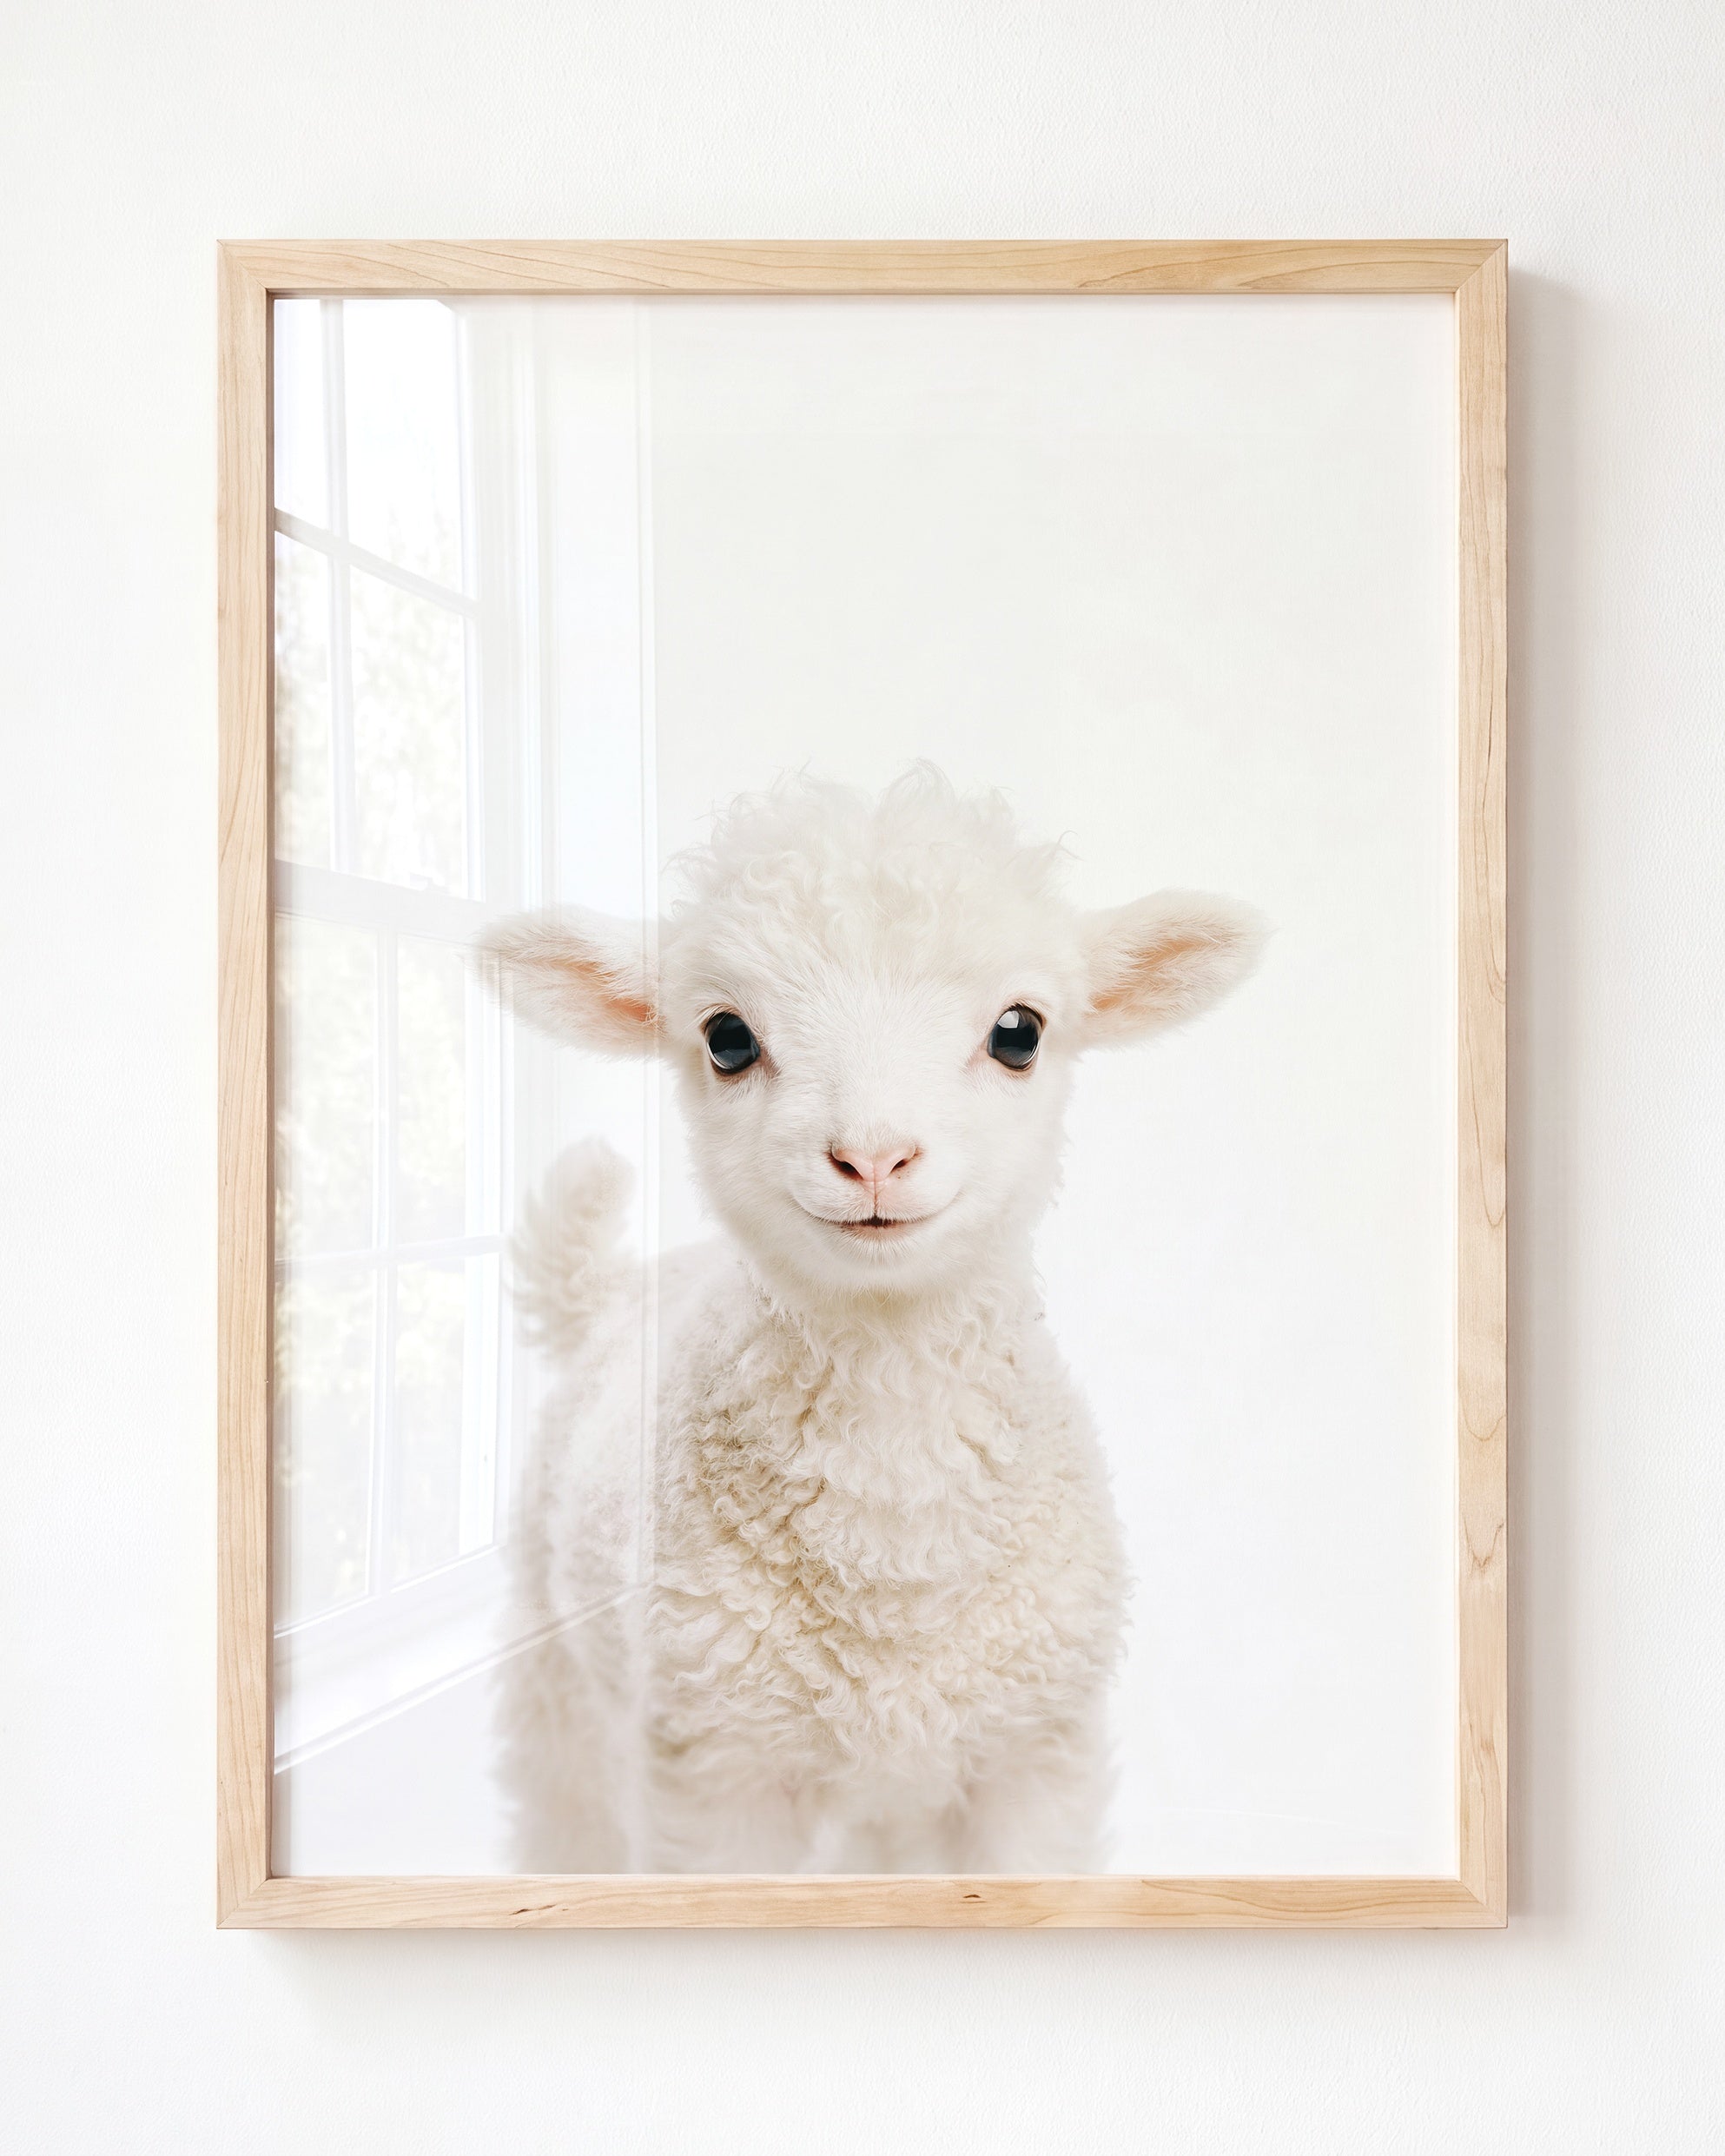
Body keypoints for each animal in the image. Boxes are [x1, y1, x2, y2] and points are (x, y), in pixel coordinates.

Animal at [479, 766, 1263, 1873]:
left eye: (1019, 1031)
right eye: (728, 1037)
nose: (874, 1157)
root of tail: (613, 1290)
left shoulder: (1033, 1758)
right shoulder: (717, 1773)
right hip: (560, 1692)